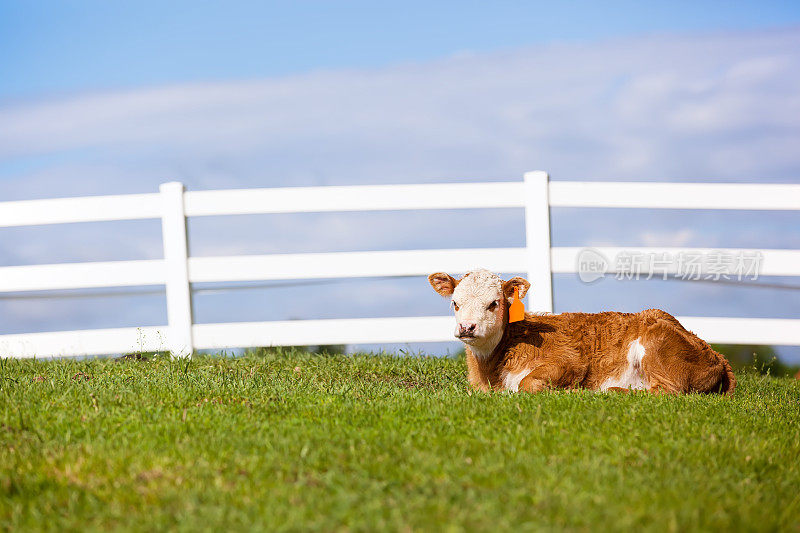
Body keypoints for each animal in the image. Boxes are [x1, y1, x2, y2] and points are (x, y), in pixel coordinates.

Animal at [428, 268, 736, 392]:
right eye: (455, 303)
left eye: (493, 303)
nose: (466, 327)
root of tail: (715, 354)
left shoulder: (570, 361)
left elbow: (528, 383)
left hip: (657, 344)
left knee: (667, 392)